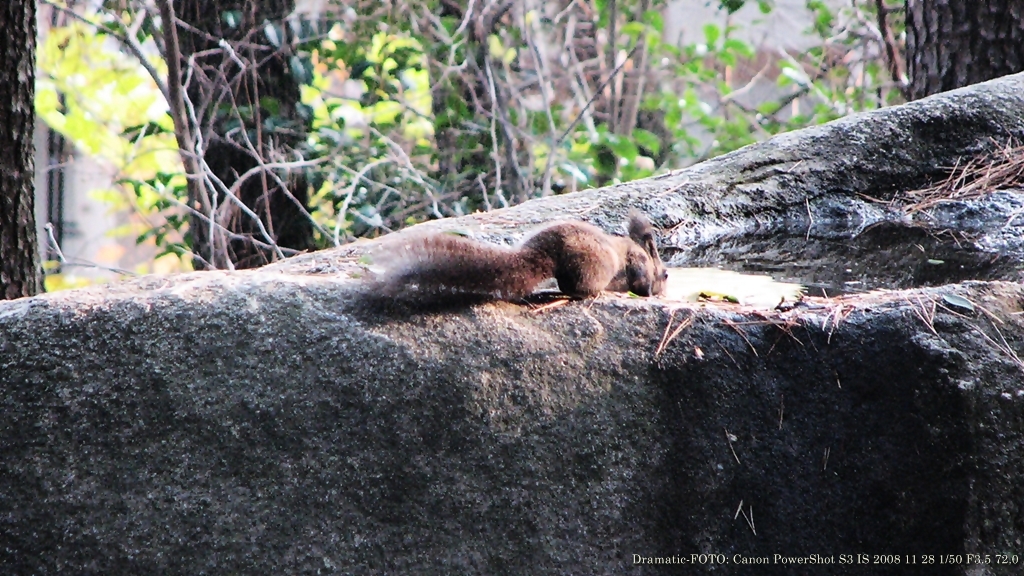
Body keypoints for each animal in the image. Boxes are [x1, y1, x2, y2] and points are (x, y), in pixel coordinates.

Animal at [372, 212, 667, 301]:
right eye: (665, 275)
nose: (663, 290)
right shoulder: (637, 263)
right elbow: (640, 281)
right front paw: (646, 292)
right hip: (595, 263)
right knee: (578, 288)